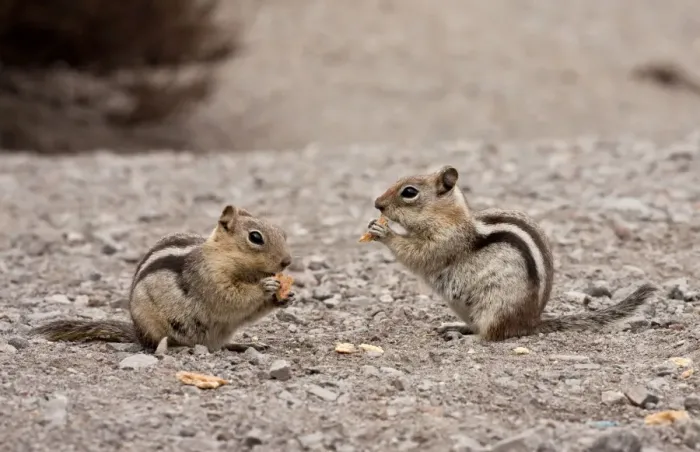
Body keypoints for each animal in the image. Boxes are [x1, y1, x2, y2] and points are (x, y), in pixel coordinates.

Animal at [31, 204, 295, 353]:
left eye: (283, 233)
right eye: (255, 237)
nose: (287, 261)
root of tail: (137, 333)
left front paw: (285, 297)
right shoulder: (208, 278)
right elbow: (230, 297)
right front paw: (266, 287)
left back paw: (244, 345)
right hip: (156, 328)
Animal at [362, 165, 658, 341]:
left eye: (409, 192)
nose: (377, 203)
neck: (449, 218)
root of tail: (531, 322)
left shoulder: (445, 242)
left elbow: (418, 254)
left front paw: (384, 232)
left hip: (496, 307)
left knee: (491, 334)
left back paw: (467, 337)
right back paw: (456, 327)